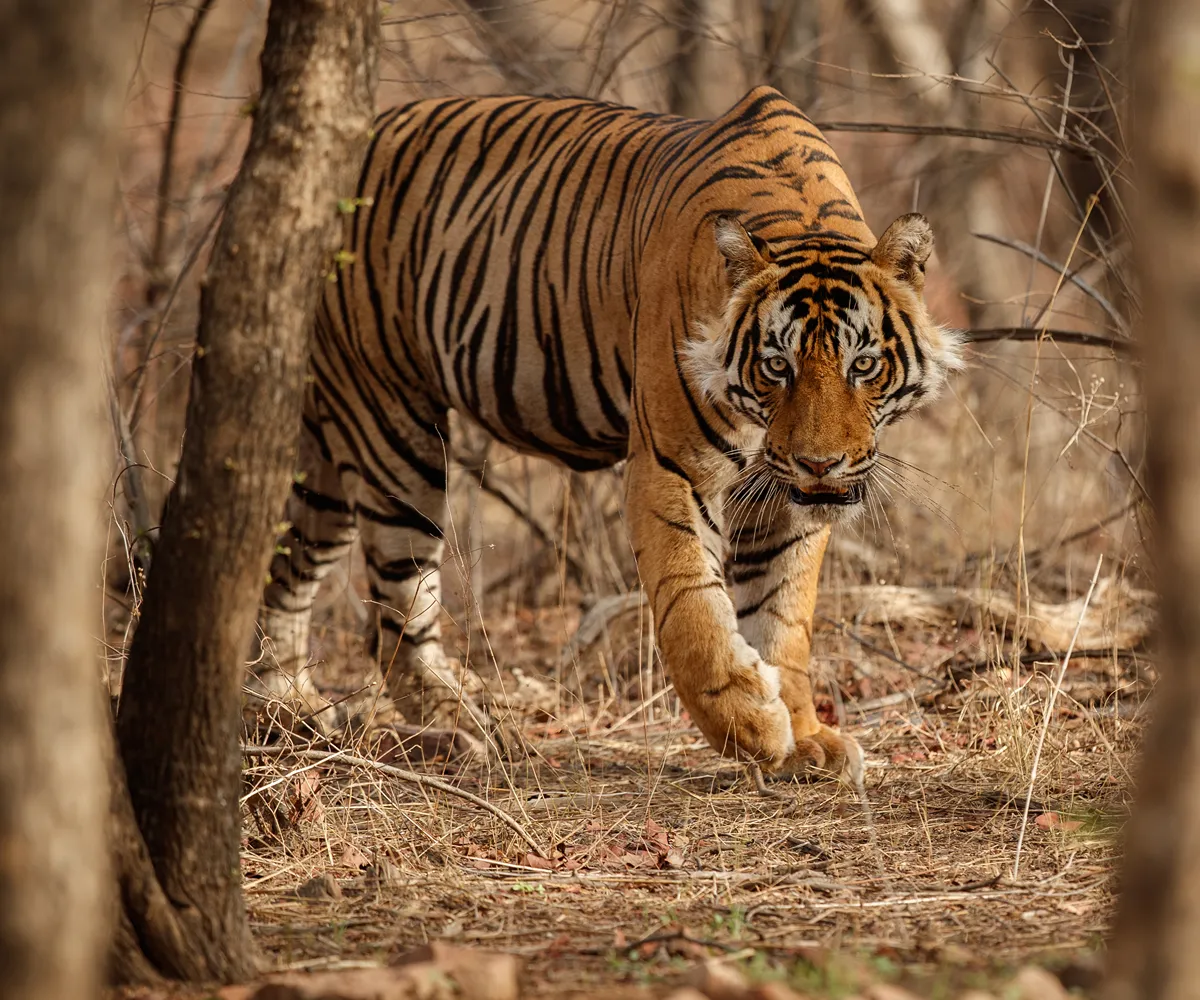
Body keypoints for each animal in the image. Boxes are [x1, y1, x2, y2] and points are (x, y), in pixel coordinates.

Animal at [258, 85, 962, 781]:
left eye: (862, 365)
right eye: (776, 367)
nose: (820, 464)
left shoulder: (785, 495)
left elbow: (783, 614)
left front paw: (806, 738)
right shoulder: (673, 466)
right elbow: (692, 608)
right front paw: (751, 724)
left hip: (327, 448)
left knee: (288, 563)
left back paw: (287, 706)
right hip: (393, 427)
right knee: (394, 609)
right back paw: (468, 732)